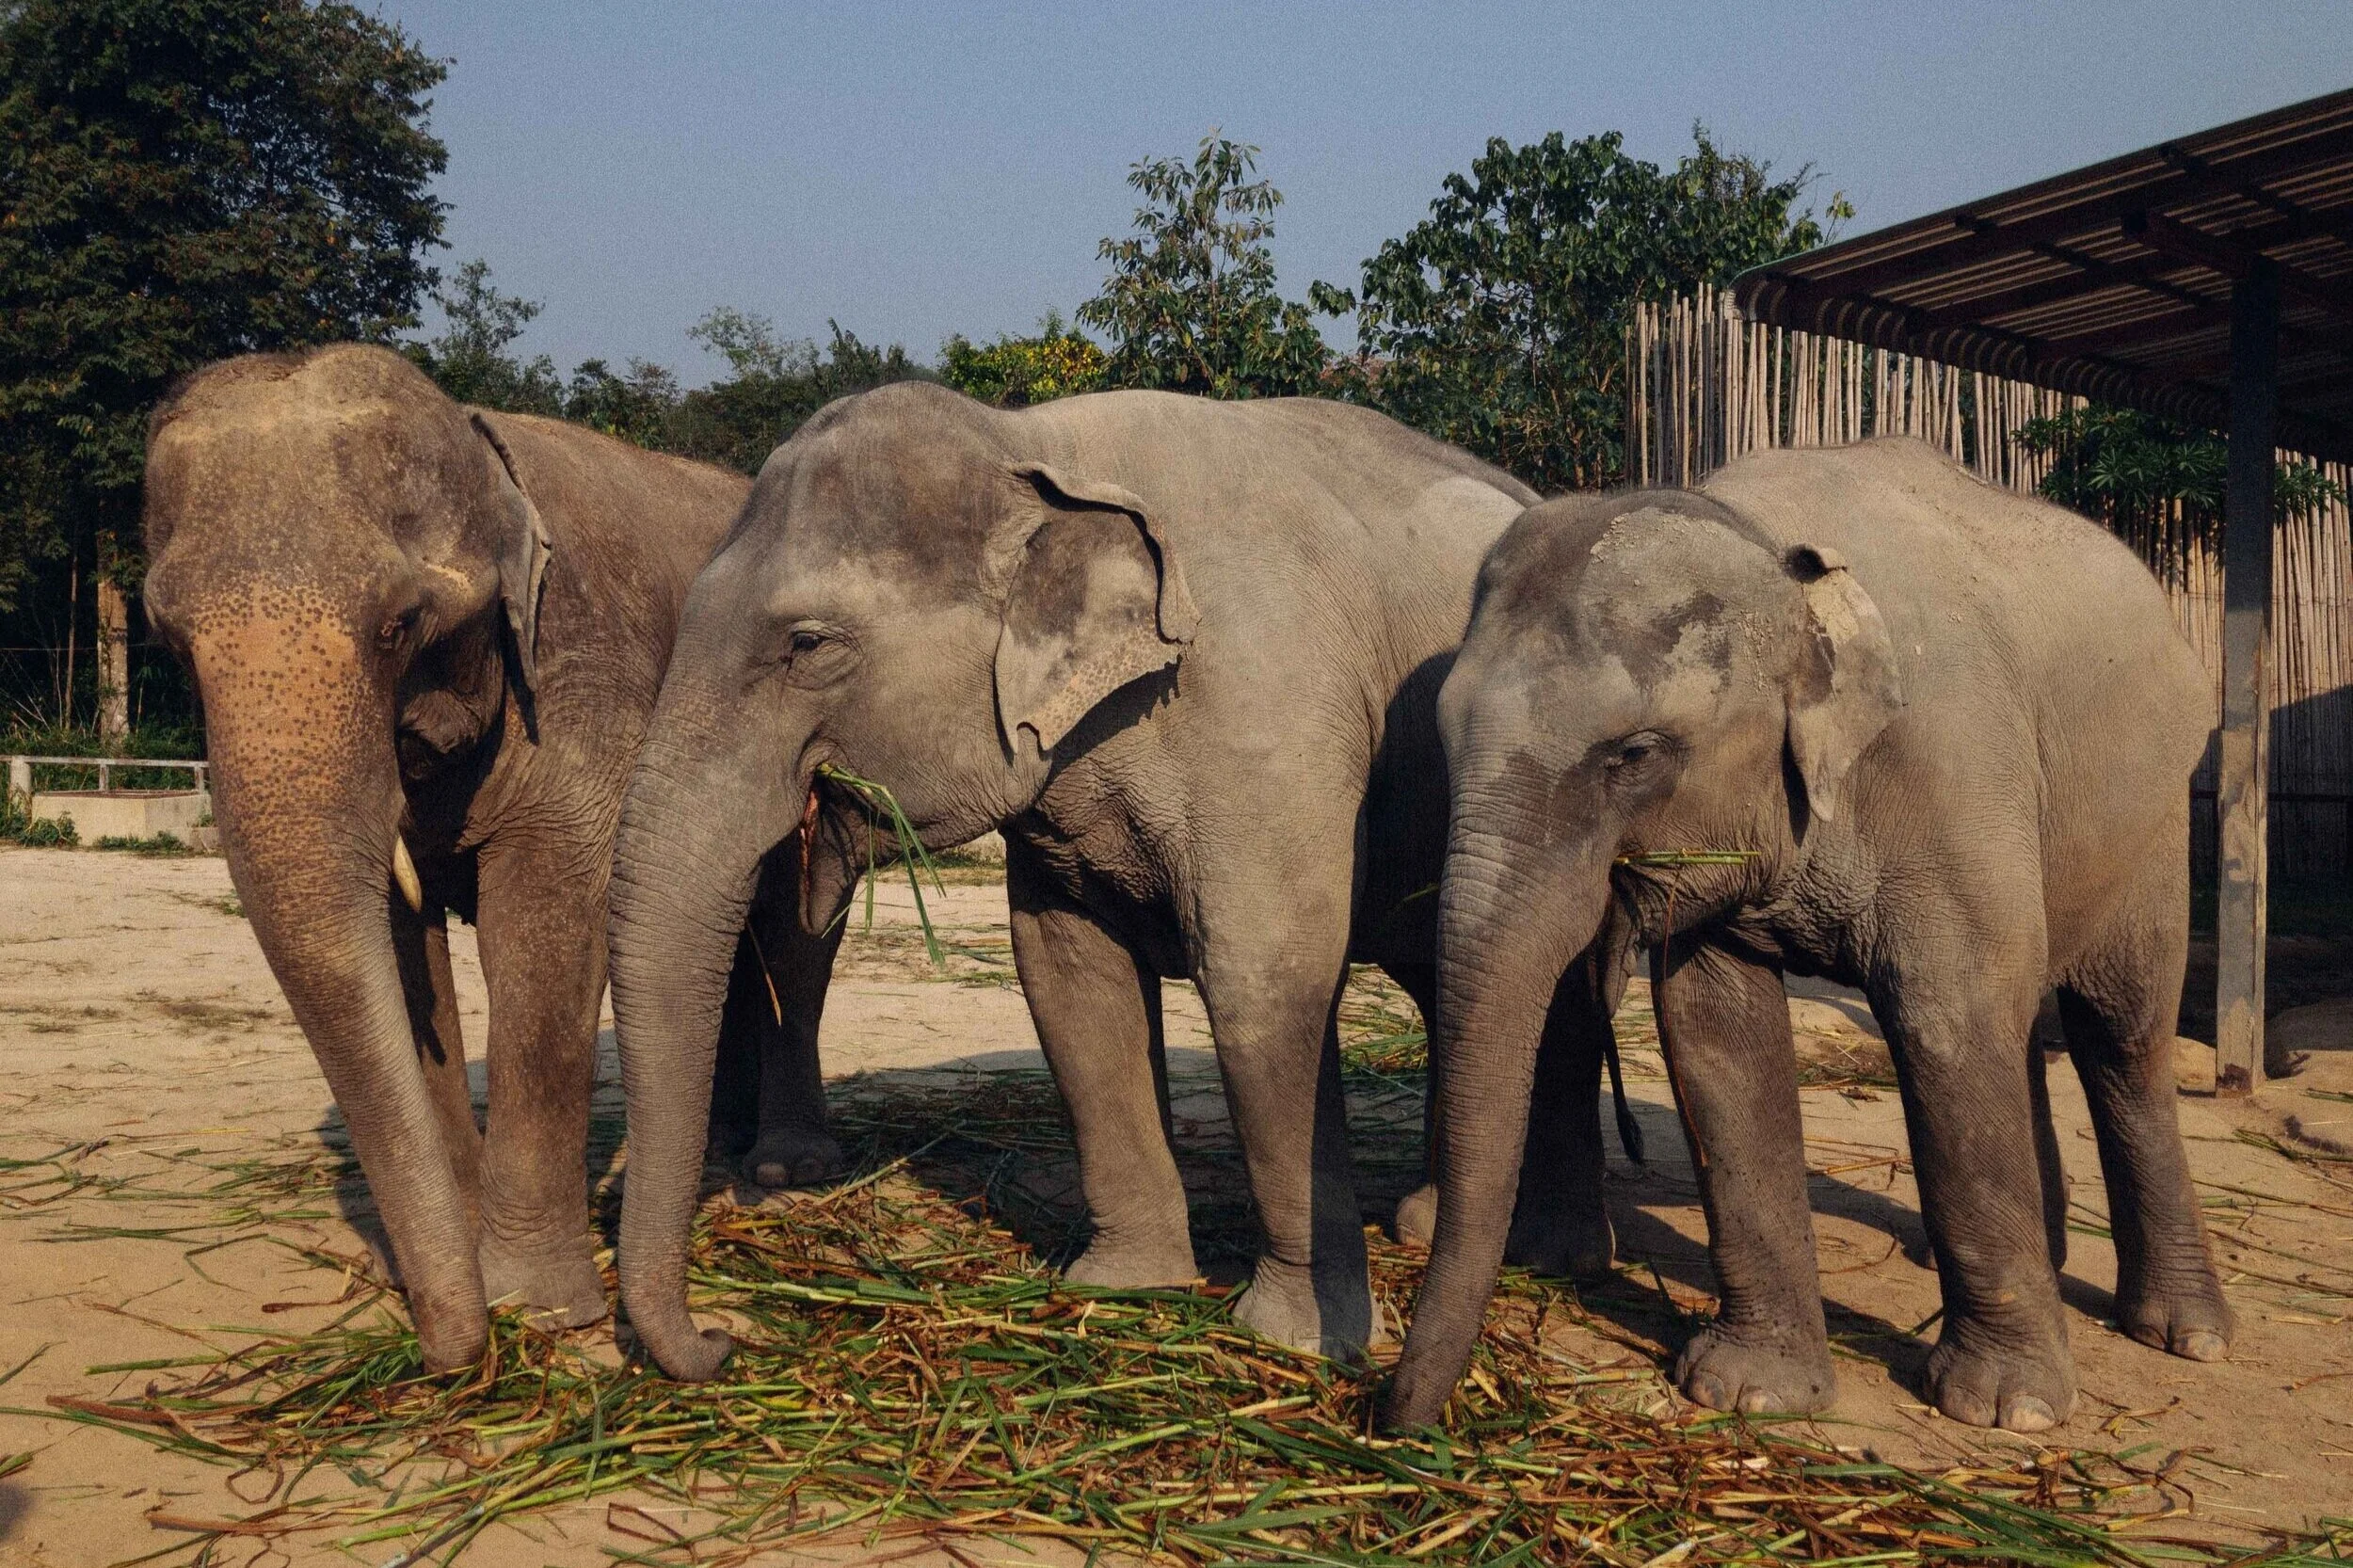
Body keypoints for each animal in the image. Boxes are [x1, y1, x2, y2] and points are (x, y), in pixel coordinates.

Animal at [141, 344, 850, 1372]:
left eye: (399, 622)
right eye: (172, 643)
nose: (446, 1351)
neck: (481, 451)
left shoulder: (580, 684)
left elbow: (546, 925)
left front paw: (537, 1307)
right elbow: (401, 952)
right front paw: (463, 1273)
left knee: (794, 936)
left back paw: (785, 1164)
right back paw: (719, 1143)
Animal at [605, 380, 1633, 1382]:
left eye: (808, 645)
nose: (721, 1344)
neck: (1035, 443)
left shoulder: (1270, 717)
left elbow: (1265, 977)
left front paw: (1298, 1340)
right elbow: (1071, 981)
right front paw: (1126, 1287)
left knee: (1562, 1002)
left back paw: (1556, 1252)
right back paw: (1425, 1222)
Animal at [1384, 437, 2230, 1435]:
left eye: (1634, 754)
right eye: (1439, 733)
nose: (1388, 1417)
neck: (1775, 556)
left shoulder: (1953, 769)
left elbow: (1942, 1016)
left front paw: (2004, 1412)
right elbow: (1716, 1034)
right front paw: (1750, 1390)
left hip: (2154, 825)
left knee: (2120, 1036)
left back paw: (2186, 1335)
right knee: (2021, 1022)